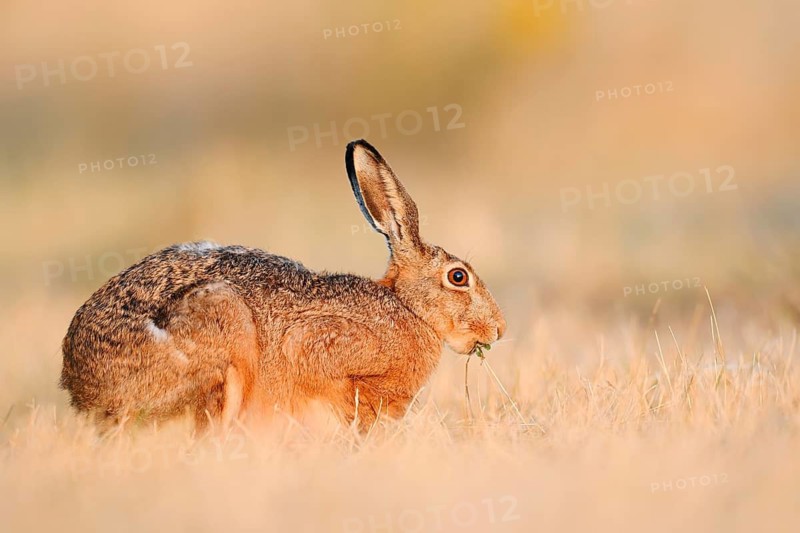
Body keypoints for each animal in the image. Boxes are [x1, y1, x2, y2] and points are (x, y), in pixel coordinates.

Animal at [60, 139, 506, 432]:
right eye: (458, 277)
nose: (499, 330)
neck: (409, 309)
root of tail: (83, 388)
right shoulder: (321, 347)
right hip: (224, 336)